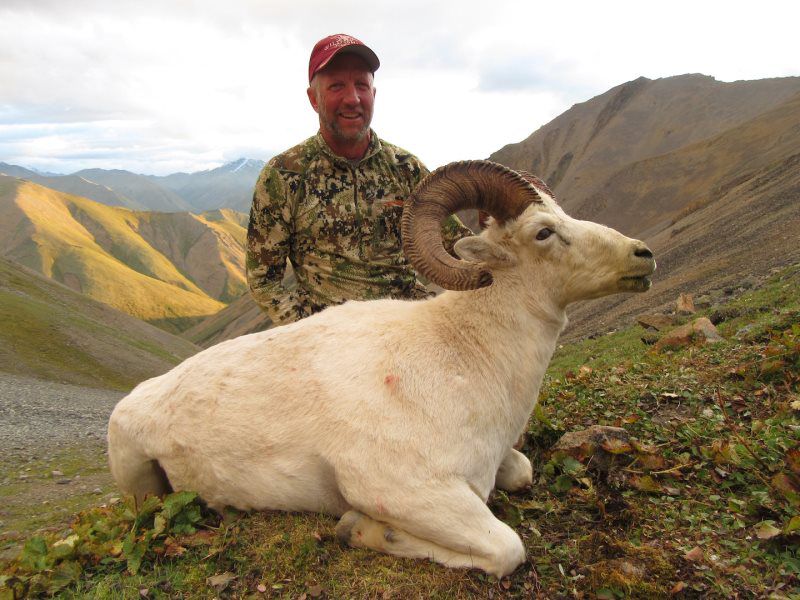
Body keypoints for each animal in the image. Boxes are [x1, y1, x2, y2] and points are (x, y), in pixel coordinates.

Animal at [107, 160, 656, 578]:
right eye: (544, 232)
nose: (643, 255)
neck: (462, 359)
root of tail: (134, 402)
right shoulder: (407, 492)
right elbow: (506, 548)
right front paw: (360, 529)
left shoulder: (497, 464)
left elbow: (521, 472)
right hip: (138, 482)